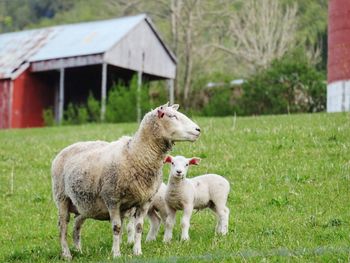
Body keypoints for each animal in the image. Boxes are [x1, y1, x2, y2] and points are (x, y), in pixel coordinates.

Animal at [50, 103, 201, 260]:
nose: (198, 130)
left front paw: (137, 251)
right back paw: (66, 254)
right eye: (172, 116)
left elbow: (139, 227)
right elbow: (117, 228)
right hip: (62, 198)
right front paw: (116, 254)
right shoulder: (112, 199)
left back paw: (79, 250)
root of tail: (65, 149)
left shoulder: (144, 201)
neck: (136, 154)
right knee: (62, 226)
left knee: (77, 225)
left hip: (84, 205)